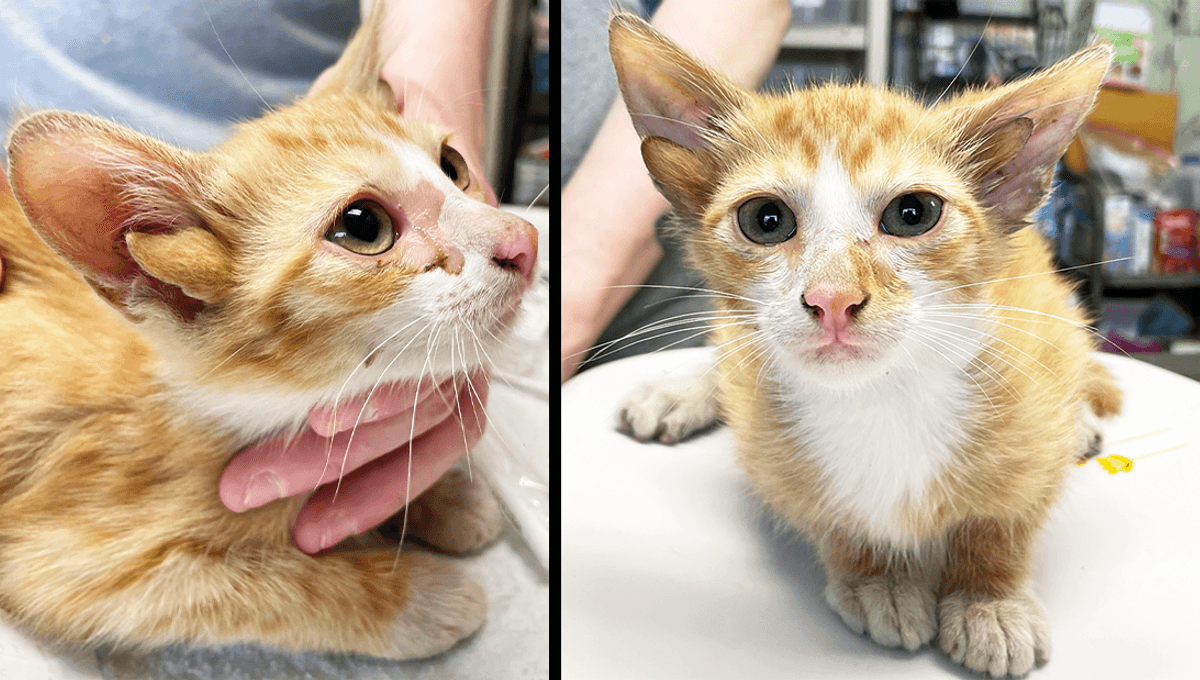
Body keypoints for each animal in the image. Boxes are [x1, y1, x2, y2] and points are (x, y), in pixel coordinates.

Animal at [0, 0, 540, 662]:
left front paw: (442, 497)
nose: (523, 240)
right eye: (364, 226)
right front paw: (422, 597)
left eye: (454, 166)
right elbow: (267, 592)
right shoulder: (73, 561)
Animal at [614, 13, 1118, 676]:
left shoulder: (1038, 356)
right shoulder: (773, 453)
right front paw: (878, 577)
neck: (882, 397)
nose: (833, 298)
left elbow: (1005, 513)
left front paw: (988, 598)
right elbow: (830, 515)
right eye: (765, 221)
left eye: (913, 213)